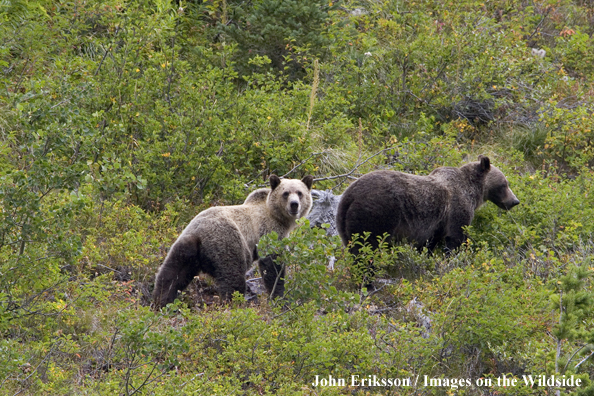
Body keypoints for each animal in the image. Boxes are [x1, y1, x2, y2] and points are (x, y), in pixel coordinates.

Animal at [154, 175, 314, 308]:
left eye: (300, 192)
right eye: (286, 193)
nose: (294, 204)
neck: (279, 218)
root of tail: (198, 235)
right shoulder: (268, 231)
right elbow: (272, 265)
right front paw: (279, 296)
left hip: (184, 248)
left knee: (171, 275)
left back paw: (161, 302)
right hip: (227, 243)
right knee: (233, 278)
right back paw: (234, 305)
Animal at [336, 155, 520, 254]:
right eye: (505, 184)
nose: (515, 201)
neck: (473, 192)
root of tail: (349, 196)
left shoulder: (436, 225)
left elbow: (429, 243)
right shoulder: (457, 207)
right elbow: (456, 237)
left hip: (344, 223)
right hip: (376, 214)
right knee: (366, 247)